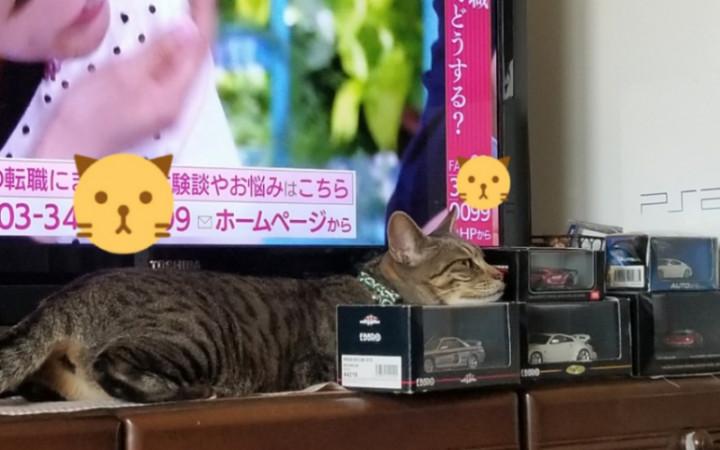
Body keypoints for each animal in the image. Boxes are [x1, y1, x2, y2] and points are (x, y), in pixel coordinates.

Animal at [0, 210, 504, 403]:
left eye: (484, 256)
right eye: (466, 263)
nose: (501, 272)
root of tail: (67, 294)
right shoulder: (317, 367)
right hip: (192, 334)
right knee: (113, 365)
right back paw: (198, 392)